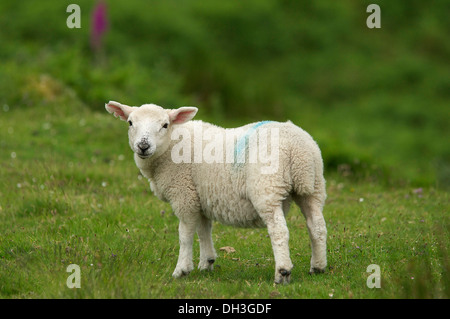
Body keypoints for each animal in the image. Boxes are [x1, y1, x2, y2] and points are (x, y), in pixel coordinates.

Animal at [105, 100, 326, 284]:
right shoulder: (200, 196)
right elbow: (204, 231)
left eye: (165, 125)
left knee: (279, 230)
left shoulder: (184, 195)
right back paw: (318, 267)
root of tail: (298, 148)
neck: (171, 147)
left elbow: (185, 234)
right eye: (130, 123)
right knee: (317, 226)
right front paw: (206, 263)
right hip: (312, 187)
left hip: (267, 188)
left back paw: (282, 272)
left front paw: (181, 270)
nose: (143, 146)